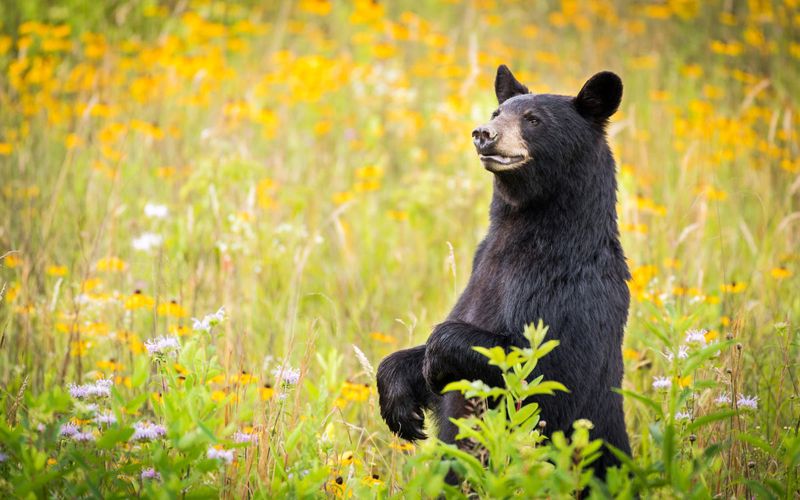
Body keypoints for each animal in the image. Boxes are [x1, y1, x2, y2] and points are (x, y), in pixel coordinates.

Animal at [378, 65, 636, 476]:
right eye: (497, 112)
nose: (484, 133)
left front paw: (435, 356)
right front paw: (400, 402)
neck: (524, 234)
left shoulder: (572, 294)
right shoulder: (481, 268)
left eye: (533, 119)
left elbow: (548, 372)